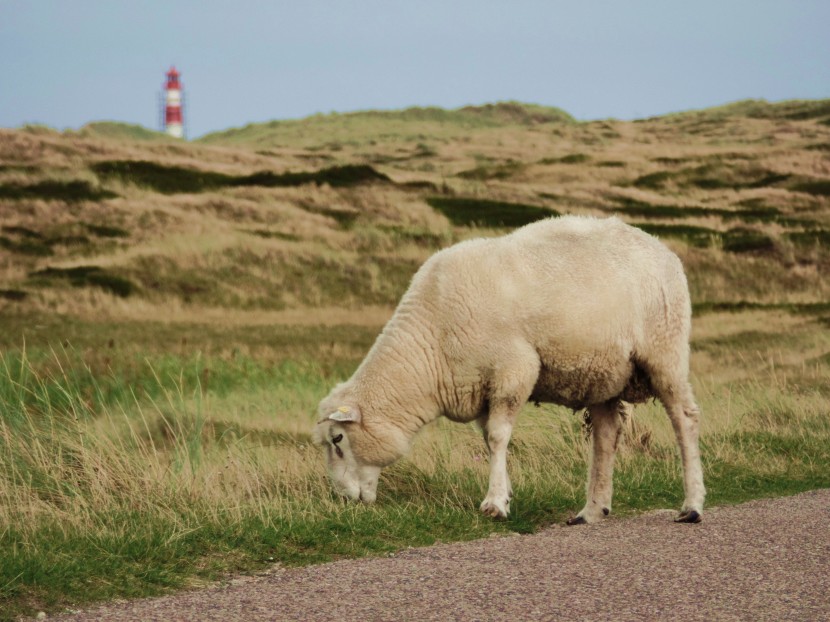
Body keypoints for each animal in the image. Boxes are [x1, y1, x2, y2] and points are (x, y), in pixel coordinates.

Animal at [316, 217, 704, 524]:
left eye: (338, 439)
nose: (343, 500)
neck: (431, 343)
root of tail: (660, 247)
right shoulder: (479, 387)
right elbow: (488, 439)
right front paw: (504, 492)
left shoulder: (513, 370)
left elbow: (498, 436)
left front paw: (494, 504)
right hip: (602, 373)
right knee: (606, 436)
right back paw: (592, 510)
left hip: (664, 350)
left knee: (683, 418)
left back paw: (692, 505)